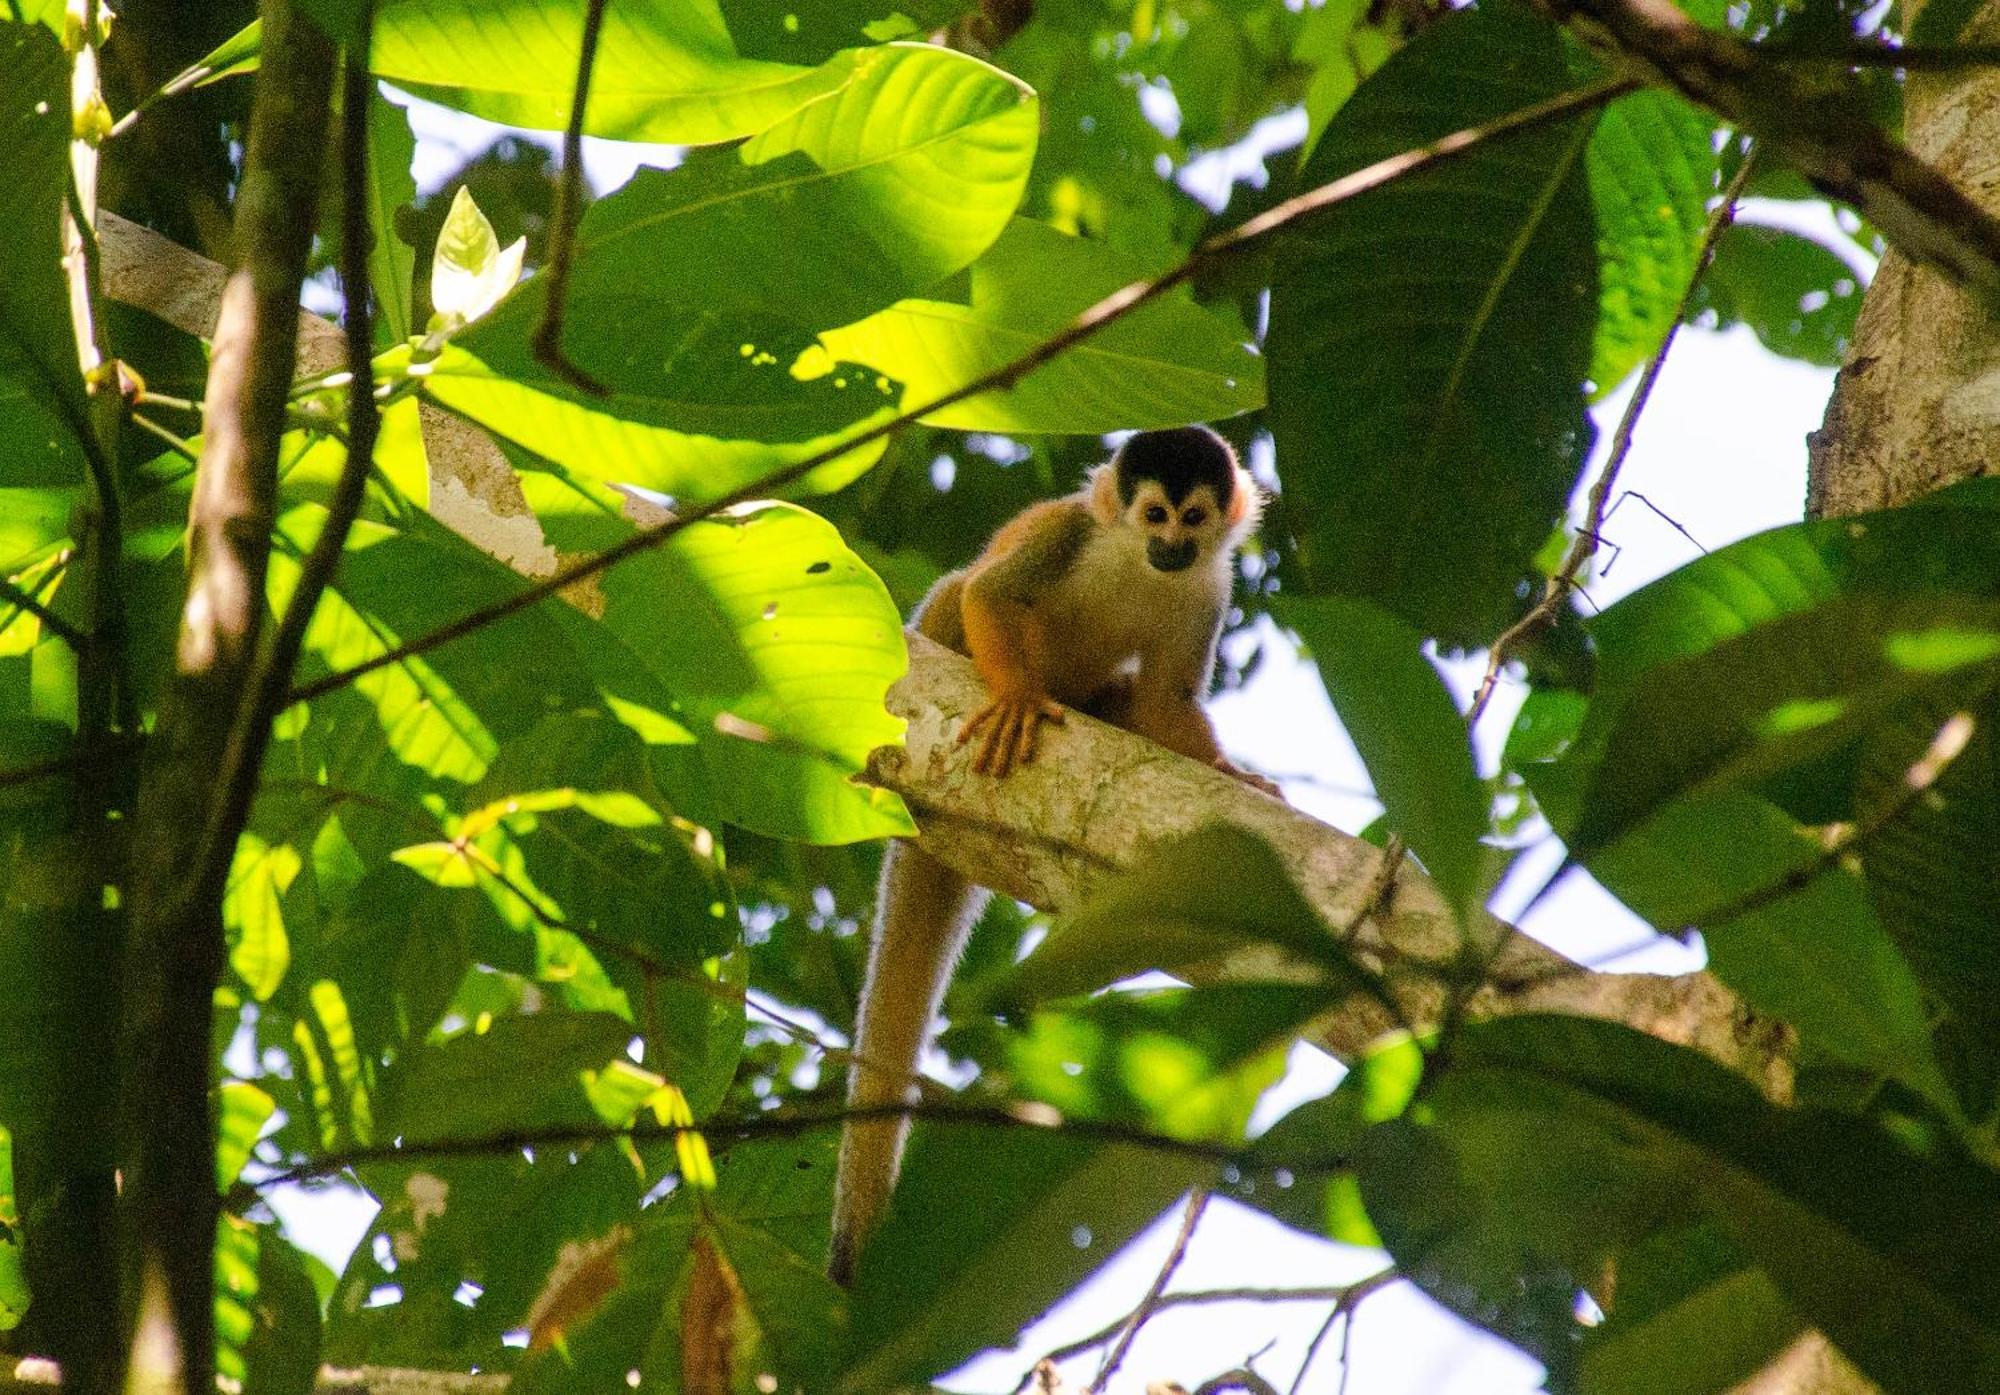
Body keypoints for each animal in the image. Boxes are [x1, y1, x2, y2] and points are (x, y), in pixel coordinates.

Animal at [832, 423, 1280, 1279]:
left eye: (1194, 518)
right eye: (1153, 514)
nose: (1172, 546)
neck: (1136, 561)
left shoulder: (1211, 590)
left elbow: (1167, 704)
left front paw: (1226, 770)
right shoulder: (1071, 533)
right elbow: (991, 595)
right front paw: (1013, 696)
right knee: (957, 594)